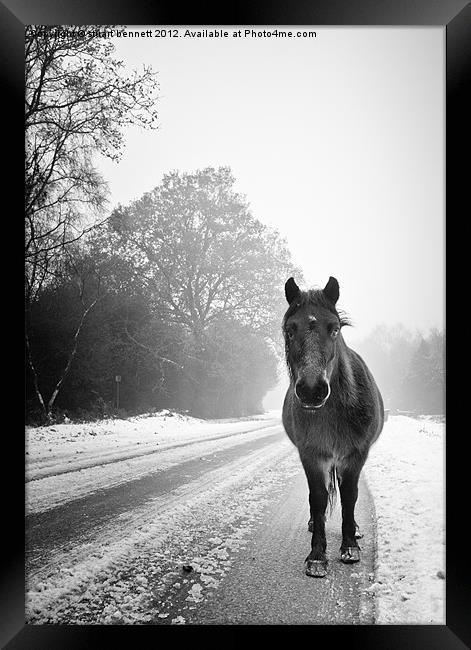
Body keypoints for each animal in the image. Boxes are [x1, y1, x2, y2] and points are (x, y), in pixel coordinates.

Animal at [280, 276, 384, 576]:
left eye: (335, 328)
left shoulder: (355, 454)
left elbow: (350, 496)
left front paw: (350, 546)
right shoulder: (312, 455)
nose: (312, 390)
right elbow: (318, 498)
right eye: (290, 330)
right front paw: (317, 555)